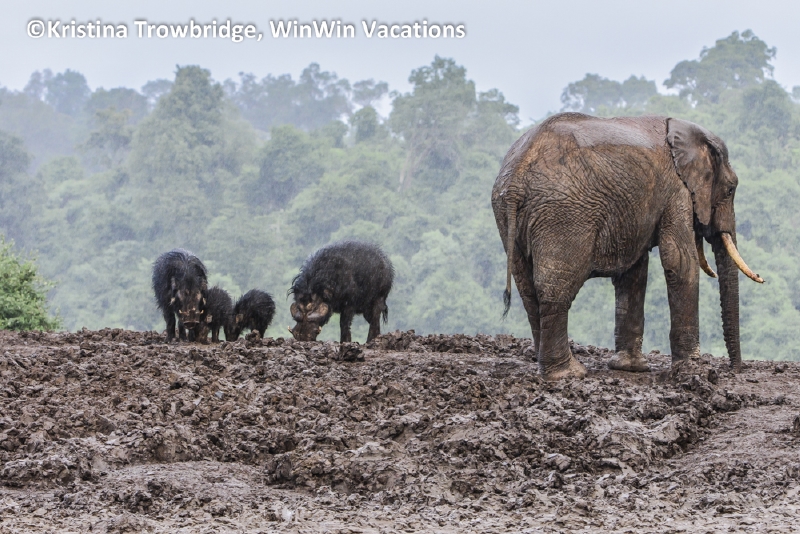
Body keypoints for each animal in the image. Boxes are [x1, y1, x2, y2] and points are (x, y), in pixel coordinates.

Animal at [491, 113, 763, 381]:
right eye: (730, 190)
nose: (733, 371)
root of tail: (515, 181)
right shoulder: (677, 190)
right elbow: (680, 262)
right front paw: (692, 369)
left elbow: (633, 274)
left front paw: (630, 368)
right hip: (563, 216)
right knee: (554, 290)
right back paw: (567, 373)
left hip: (507, 215)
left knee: (528, 290)